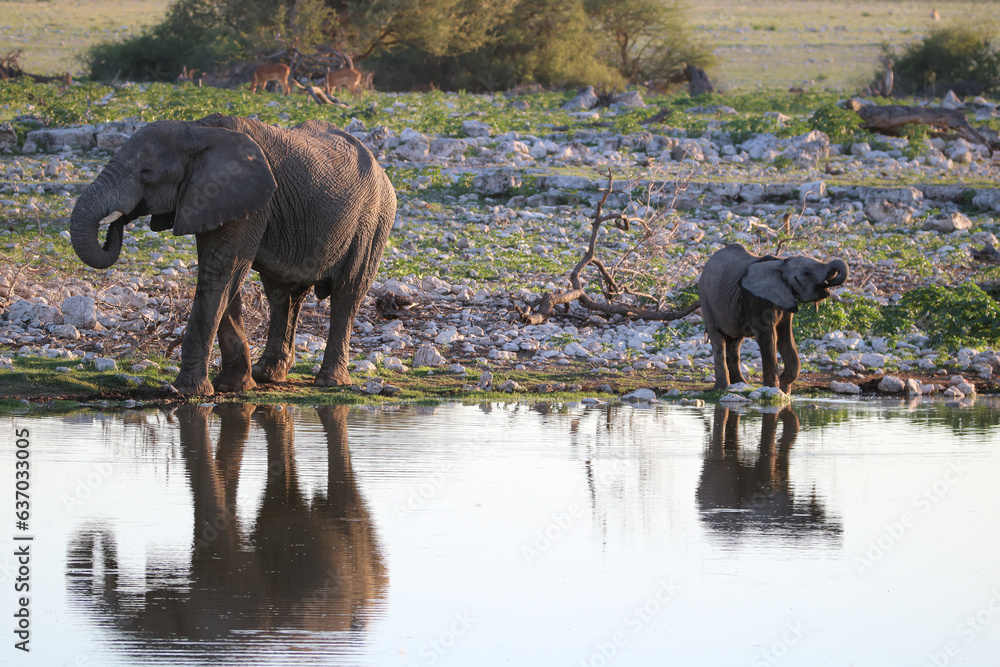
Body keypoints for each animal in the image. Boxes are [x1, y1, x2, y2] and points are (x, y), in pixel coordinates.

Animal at [69, 114, 396, 395]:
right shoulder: (213, 200)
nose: (117, 221)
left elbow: (220, 273)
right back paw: (268, 375)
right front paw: (233, 386)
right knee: (283, 294)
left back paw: (330, 382)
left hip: (374, 220)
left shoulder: (248, 201)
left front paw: (189, 390)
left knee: (347, 291)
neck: (195, 129)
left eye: (145, 172)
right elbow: (223, 279)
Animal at [698, 243, 848, 393]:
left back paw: (741, 385)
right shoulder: (754, 297)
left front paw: (784, 389)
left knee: (735, 342)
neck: (780, 262)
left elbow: (785, 336)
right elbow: (768, 337)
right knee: (718, 340)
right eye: (806, 273)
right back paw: (722, 388)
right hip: (705, 299)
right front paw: (772, 389)